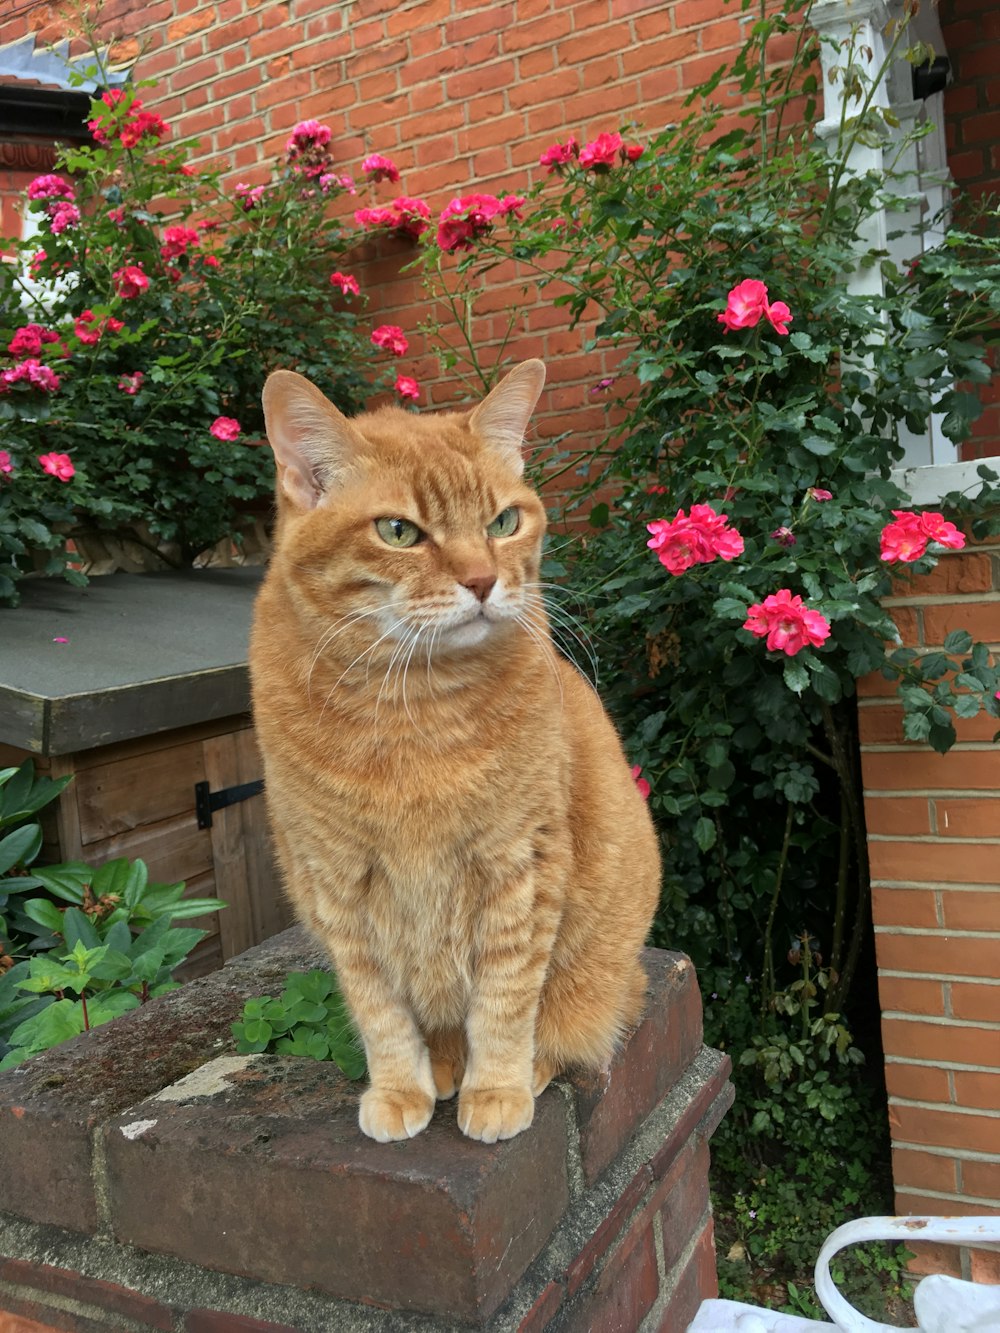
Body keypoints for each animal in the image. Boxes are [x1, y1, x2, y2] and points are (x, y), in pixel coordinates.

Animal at [248, 362, 661, 1146]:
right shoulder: (338, 884)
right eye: (399, 531)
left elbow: (505, 996)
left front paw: (496, 1089)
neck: (413, 708)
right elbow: (380, 1011)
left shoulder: (519, 865)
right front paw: (399, 1090)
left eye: (503, 522)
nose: (481, 581)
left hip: (604, 966)